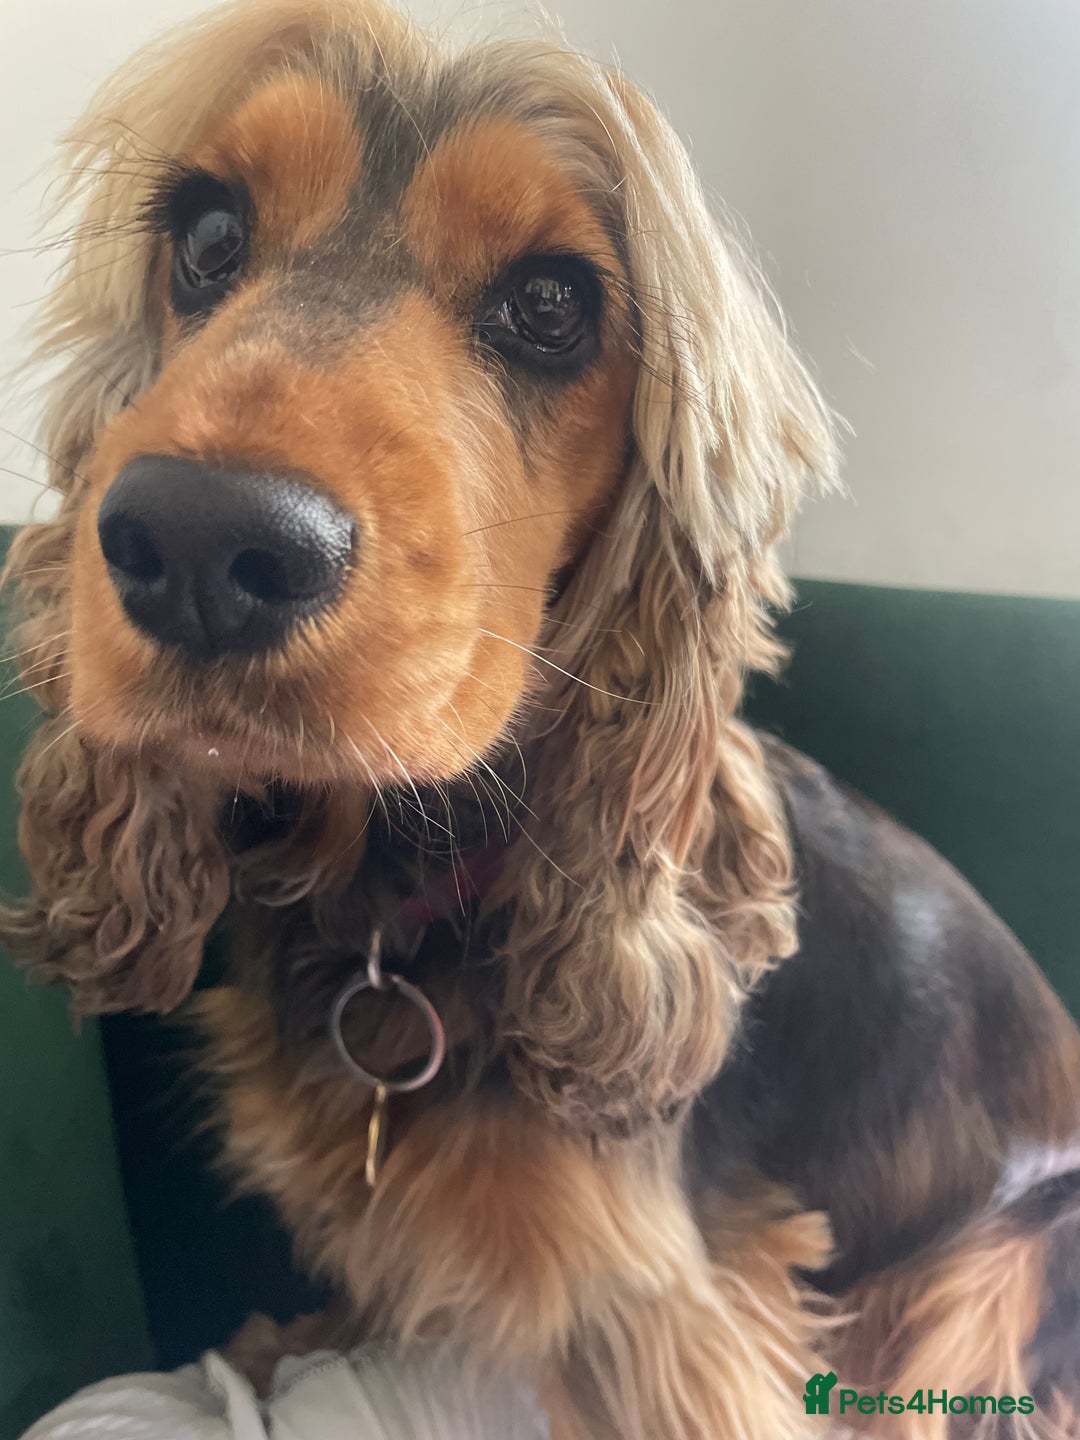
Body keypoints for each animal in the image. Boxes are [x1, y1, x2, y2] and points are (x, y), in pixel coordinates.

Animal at [4, 1, 1079, 1435]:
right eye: (208, 235)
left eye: (553, 304)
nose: (194, 543)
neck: (401, 894)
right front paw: (305, 1339)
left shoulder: (669, 1322)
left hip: (989, 1275)